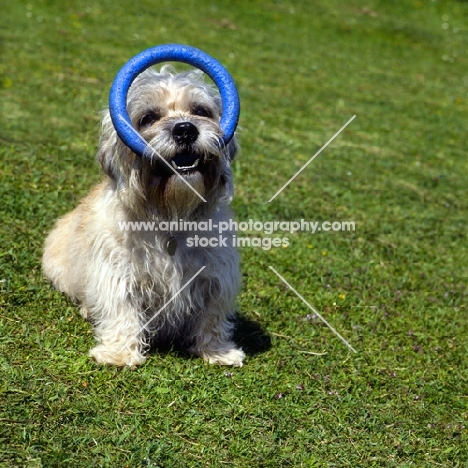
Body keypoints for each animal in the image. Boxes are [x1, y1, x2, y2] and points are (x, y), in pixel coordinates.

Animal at [43, 65, 245, 370]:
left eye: (201, 110)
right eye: (148, 117)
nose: (185, 129)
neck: (170, 214)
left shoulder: (215, 276)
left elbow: (213, 316)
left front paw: (218, 351)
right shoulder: (117, 272)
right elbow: (121, 309)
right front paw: (119, 353)